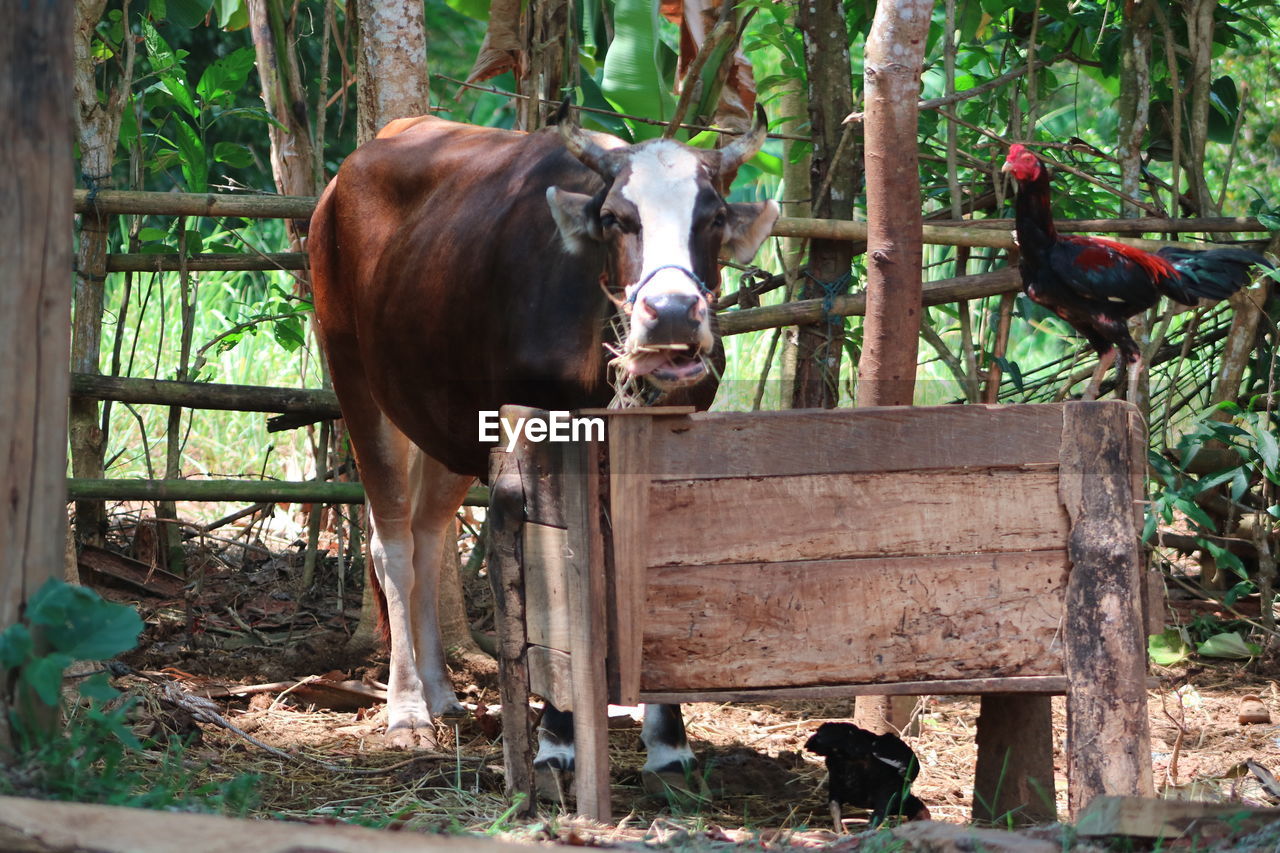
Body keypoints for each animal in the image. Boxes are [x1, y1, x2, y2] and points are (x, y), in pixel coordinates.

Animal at [307, 104, 778, 788]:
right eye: (616, 218)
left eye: (713, 216)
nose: (670, 314)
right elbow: (553, 579)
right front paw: (559, 740)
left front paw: (669, 745)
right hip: (356, 380)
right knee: (393, 544)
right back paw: (408, 711)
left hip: (448, 420)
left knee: (428, 535)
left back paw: (442, 693)